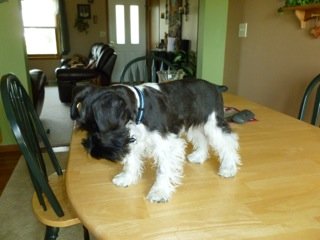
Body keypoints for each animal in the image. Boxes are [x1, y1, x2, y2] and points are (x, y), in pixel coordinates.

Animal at [70, 79, 240, 202]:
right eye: (86, 128)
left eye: (98, 129)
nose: (93, 152)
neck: (140, 108)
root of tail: (216, 87)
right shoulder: (133, 139)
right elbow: (131, 161)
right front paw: (127, 178)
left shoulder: (165, 145)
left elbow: (163, 169)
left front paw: (159, 191)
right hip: (197, 124)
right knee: (203, 139)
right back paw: (199, 156)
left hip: (213, 123)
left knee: (228, 142)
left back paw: (228, 168)